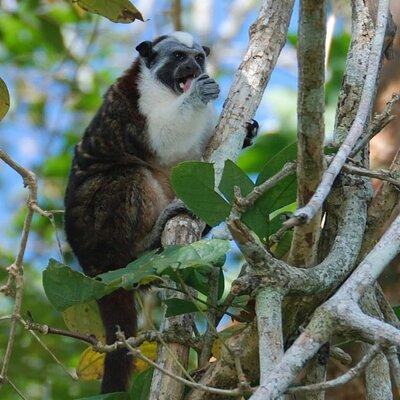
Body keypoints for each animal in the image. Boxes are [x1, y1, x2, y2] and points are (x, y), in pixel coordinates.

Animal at [65, 31, 258, 394]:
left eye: (198, 58)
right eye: (179, 57)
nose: (192, 67)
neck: (166, 90)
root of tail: (92, 267)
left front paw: (249, 134)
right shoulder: (139, 102)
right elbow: (163, 141)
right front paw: (198, 94)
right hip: (99, 231)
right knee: (130, 175)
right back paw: (148, 242)